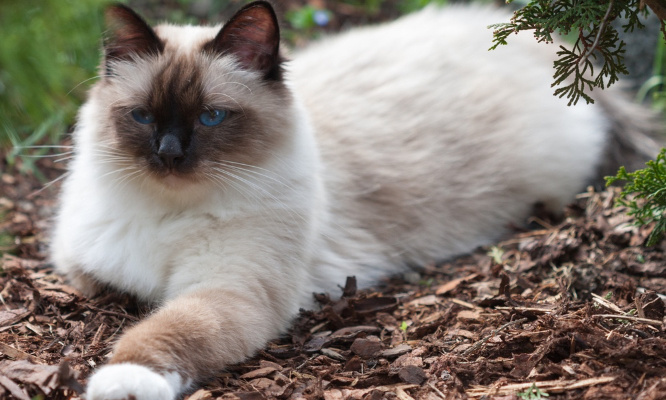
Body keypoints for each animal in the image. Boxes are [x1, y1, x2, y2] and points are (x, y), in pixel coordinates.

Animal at [49, 1, 656, 398]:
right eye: (142, 117)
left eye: (211, 117)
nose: (170, 154)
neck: (167, 210)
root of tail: (550, 47)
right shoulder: (82, 269)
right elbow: (118, 296)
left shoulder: (227, 289)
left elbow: (165, 328)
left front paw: (120, 381)